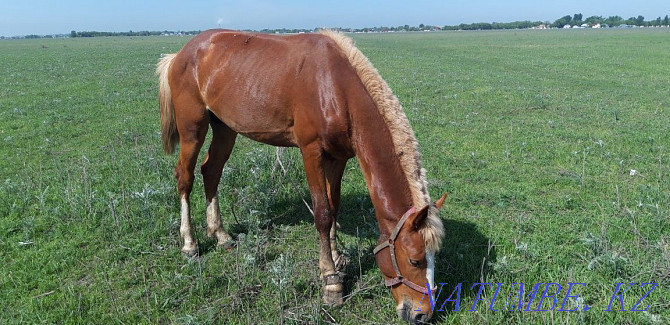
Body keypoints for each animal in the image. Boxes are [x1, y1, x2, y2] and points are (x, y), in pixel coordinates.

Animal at [156, 29, 446, 322]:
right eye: (414, 260)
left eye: (435, 256)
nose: (423, 314)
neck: (334, 87)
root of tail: (181, 53)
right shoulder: (311, 152)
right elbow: (323, 213)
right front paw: (331, 282)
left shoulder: (338, 157)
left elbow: (334, 205)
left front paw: (336, 258)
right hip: (192, 128)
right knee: (185, 177)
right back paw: (190, 243)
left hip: (225, 128)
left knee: (211, 171)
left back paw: (221, 235)